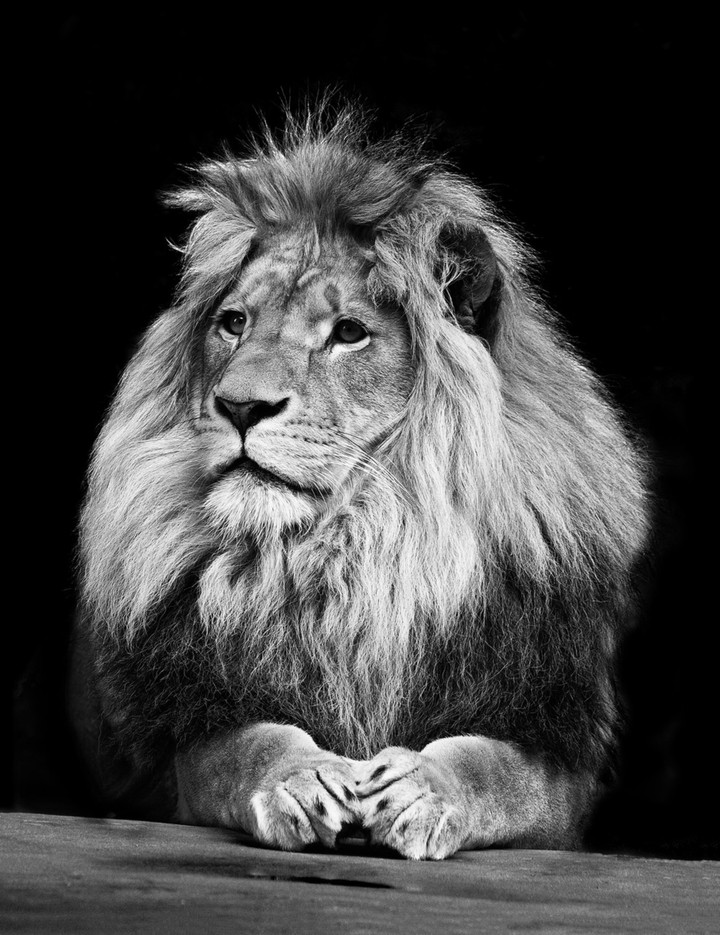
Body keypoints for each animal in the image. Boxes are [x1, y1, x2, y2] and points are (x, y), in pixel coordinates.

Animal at [69, 103, 650, 859]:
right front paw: (299, 778)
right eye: (233, 323)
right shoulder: (187, 736)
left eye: (349, 333)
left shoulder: (557, 751)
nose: (239, 406)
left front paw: (425, 788)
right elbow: (246, 745)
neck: (359, 551)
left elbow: (498, 769)